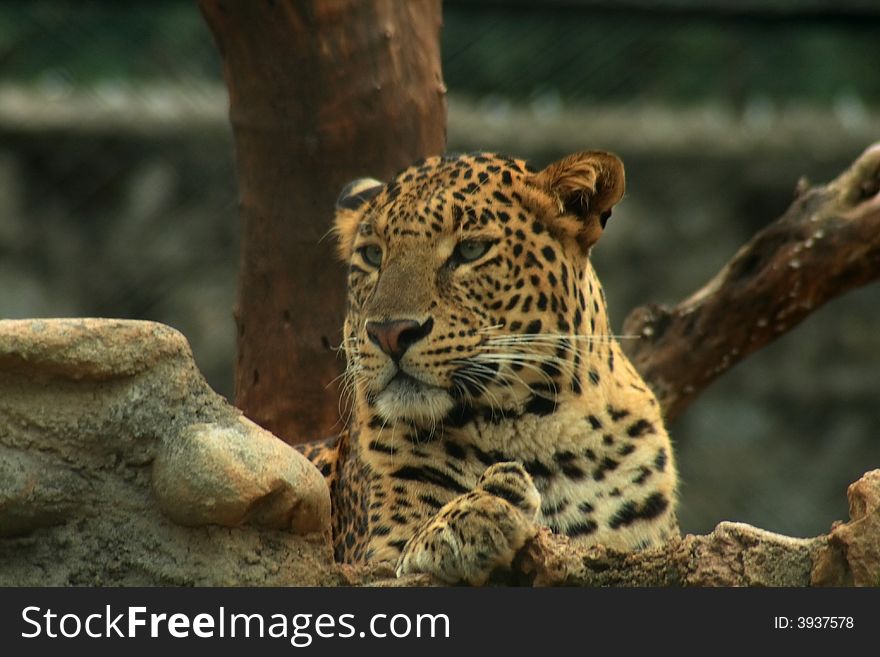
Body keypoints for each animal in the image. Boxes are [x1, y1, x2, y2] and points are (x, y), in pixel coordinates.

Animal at [300, 150, 676, 584]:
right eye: (373, 255)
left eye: (470, 250)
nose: (389, 333)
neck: (541, 438)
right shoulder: (368, 560)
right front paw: (473, 514)